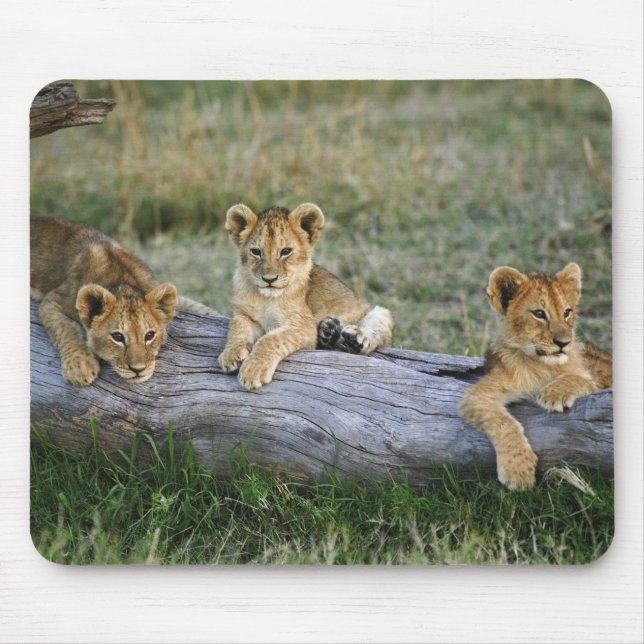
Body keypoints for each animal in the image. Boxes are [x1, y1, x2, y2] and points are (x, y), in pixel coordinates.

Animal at [30, 218, 217, 387]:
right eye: (118, 337)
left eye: (149, 335)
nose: (138, 369)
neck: (121, 279)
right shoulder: (54, 300)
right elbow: (66, 330)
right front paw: (80, 367)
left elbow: (201, 308)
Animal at [218, 203, 394, 390]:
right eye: (256, 251)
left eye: (286, 251)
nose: (269, 279)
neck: (265, 298)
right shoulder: (243, 314)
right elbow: (236, 329)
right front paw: (231, 354)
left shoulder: (303, 326)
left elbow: (271, 339)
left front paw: (253, 370)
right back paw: (328, 331)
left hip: (379, 312)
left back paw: (354, 338)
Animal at [458, 262, 612, 490]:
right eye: (539, 313)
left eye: (567, 312)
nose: (564, 342)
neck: (543, 366)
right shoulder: (478, 395)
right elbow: (504, 423)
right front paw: (518, 471)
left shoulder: (598, 380)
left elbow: (581, 379)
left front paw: (554, 394)